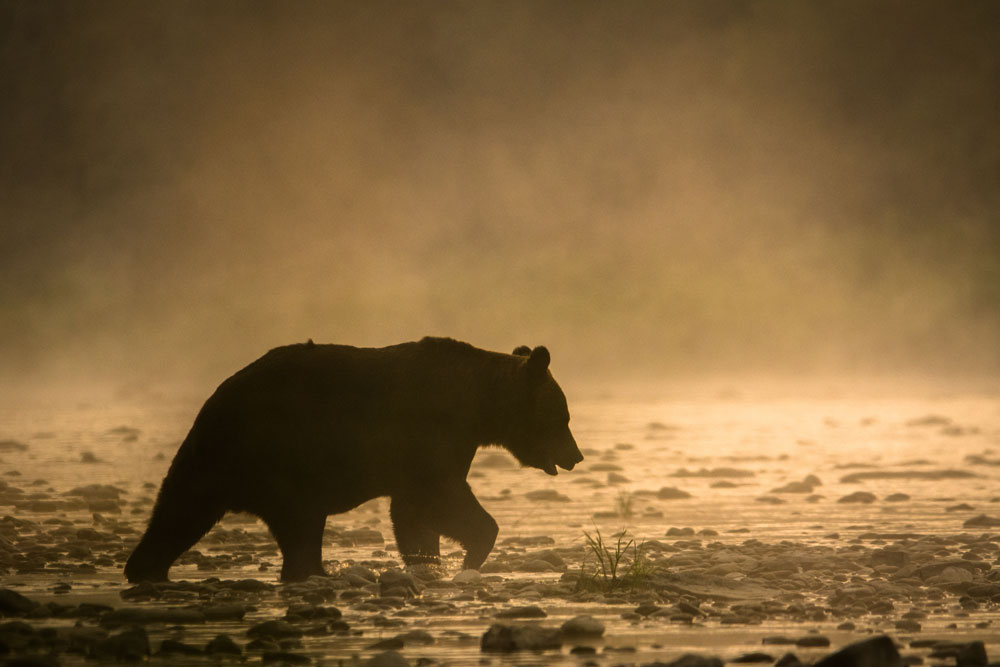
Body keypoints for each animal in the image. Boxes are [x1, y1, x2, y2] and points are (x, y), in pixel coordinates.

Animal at [125, 336, 584, 580]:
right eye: (562, 416)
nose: (576, 455)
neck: (476, 405)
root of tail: (217, 397)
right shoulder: (430, 436)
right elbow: (440, 498)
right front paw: (470, 554)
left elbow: (414, 514)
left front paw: (429, 560)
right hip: (281, 457)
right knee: (296, 527)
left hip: (219, 460)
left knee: (179, 511)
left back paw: (145, 567)